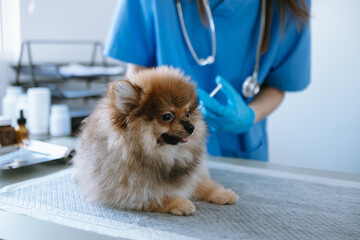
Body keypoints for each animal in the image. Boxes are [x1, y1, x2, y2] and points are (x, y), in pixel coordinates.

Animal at [71, 65, 238, 216]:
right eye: (167, 116)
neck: (166, 155)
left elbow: (203, 183)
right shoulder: (124, 191)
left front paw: (221, 193)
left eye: (188, 113)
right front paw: (180, 202)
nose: (192, 127)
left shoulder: (194, 174)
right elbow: (155, 196)